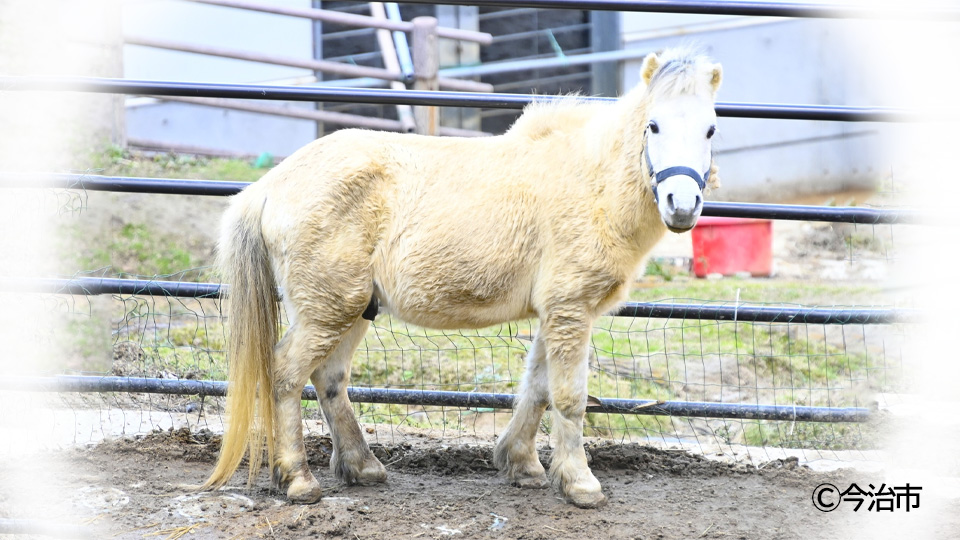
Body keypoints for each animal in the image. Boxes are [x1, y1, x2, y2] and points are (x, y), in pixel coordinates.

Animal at [201, 47, 723, 508]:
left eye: (711, 128)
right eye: (653, 125)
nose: (681, 206)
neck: (588, 182)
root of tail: (271, 185)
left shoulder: (552, 314)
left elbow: (536, 388)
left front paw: (522, 465)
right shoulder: (571, 310)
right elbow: (569, 397)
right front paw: (580, 484)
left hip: (350, 308)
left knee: (328, 379)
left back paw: (362, 466)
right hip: (327, 309)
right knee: (286, 375)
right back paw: (299, 480)